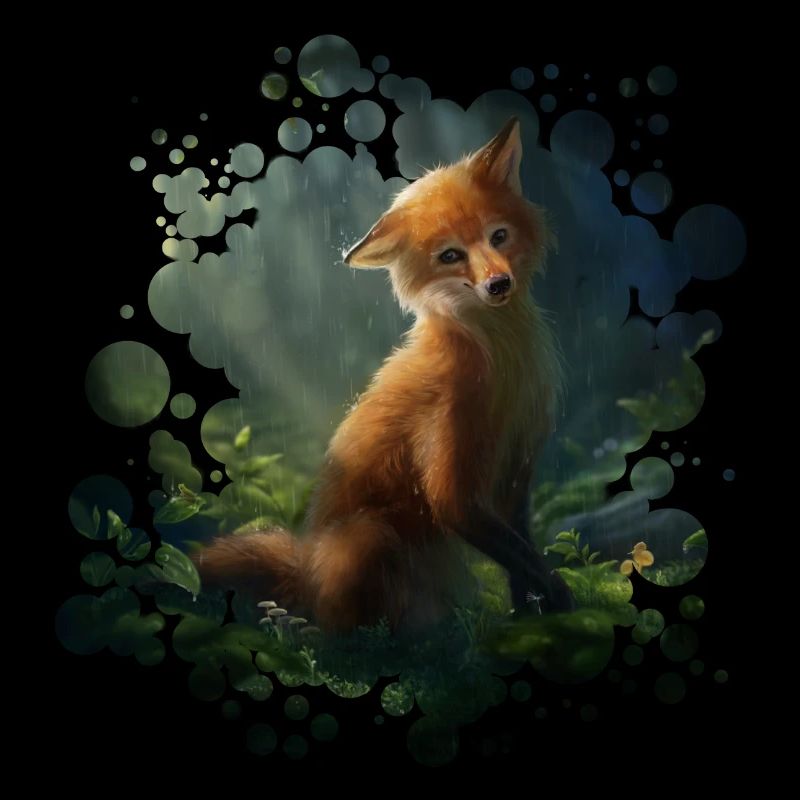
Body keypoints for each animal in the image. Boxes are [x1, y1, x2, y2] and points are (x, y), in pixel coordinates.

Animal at [196, 118, 575, 631]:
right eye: (450, 256)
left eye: (498, 237)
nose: (498, 284)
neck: (500, 366)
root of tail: (307, 572)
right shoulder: (453, 481)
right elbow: (515, 550)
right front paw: (558, 599)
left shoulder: (517, 465)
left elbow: (522, 553)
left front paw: (530, 615)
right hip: (369, 535)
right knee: (348, 626)